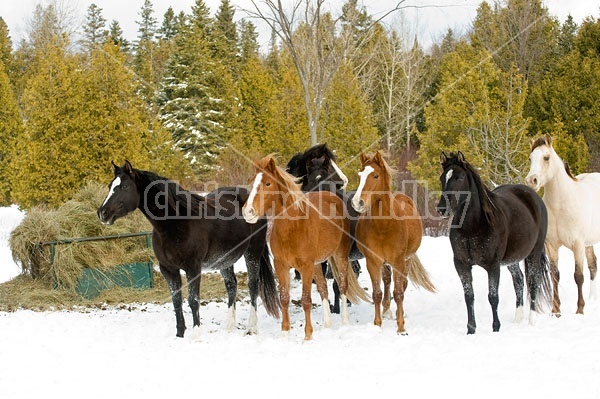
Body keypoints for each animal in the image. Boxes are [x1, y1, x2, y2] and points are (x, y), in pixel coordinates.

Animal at [96, 161, 278, 340]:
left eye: (124, 186)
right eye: (110, 186)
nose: (102, 213)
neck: (175, 223)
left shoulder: (193, 268)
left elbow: (193, 300)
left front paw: (196, 335)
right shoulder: (168, 269)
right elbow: (176, 300)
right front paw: (179, 334)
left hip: (253, 252)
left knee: (253, 285)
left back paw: (251, 327)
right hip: (225, 260)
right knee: (231, 286)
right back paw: (228, 327)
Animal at [241, 155, 368, 342]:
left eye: (268, 183)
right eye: (252, 182)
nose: (248, 211)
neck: (293, 228)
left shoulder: (306, 267)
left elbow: (306, 300)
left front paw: (308, 335)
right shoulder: (281, 266)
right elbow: (284, 298)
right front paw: (285, 332)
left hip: (340, 257)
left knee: (343, 285)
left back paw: (344, 322)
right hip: (318, 264)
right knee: (323, 288)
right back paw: (327, 324)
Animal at [350, 152, 434, 336]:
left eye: (375, 175)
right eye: (359, 175)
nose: (357, 202)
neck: (384, 225)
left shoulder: (398, 261)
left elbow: (399, 292)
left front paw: (401, 327)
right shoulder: (373, 262)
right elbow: (377, 293)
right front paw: (377, 324)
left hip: (406, 261)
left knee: (402, 285)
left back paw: (396, 313)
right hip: (385, 263)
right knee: (387, 281)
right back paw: (387, 310)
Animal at [436, 152, 552, 334]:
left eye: (459, 177)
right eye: (442, 178)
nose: (442, 209)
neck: (473, 226)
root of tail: (534, 197)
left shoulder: (493, 266)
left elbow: (493, 297)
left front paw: (496, 328)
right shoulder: (462, 265)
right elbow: (469, 297)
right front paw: (471, 329)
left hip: (534, 253)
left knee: (534, 281)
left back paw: (531, 320)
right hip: (512, 259)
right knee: (519, 280)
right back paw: (518, 317)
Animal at [524, 134, 600, 316]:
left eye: (546, 157)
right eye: (530, 158)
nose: (531, 181)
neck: (560, 205)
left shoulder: (577, 245)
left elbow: (578, 276)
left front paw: (580, 309)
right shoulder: (552, 245)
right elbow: (555, 275)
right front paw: (555, 310)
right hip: (589, 243)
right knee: (593, 266)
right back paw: (593, 298)